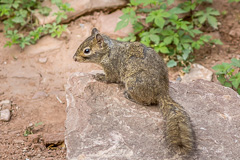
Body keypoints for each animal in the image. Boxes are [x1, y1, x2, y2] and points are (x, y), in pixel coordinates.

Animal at [72, 28, 195, 156]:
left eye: (87, 50)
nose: (74, 58)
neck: (108, 51)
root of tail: (162, 92)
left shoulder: (111, 68)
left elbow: (109, 79)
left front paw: (99, 77)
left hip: (133, 83)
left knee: (147, 102)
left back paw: (128, 96)